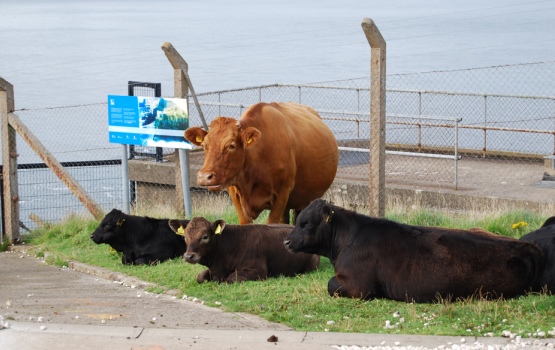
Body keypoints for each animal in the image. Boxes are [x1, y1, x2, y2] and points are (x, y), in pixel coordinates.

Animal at [167, 217, 320, 284]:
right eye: (185, 237)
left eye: (205, 236)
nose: (188, 256)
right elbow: (200, 277)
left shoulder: (258, 270)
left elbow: (230, 278)